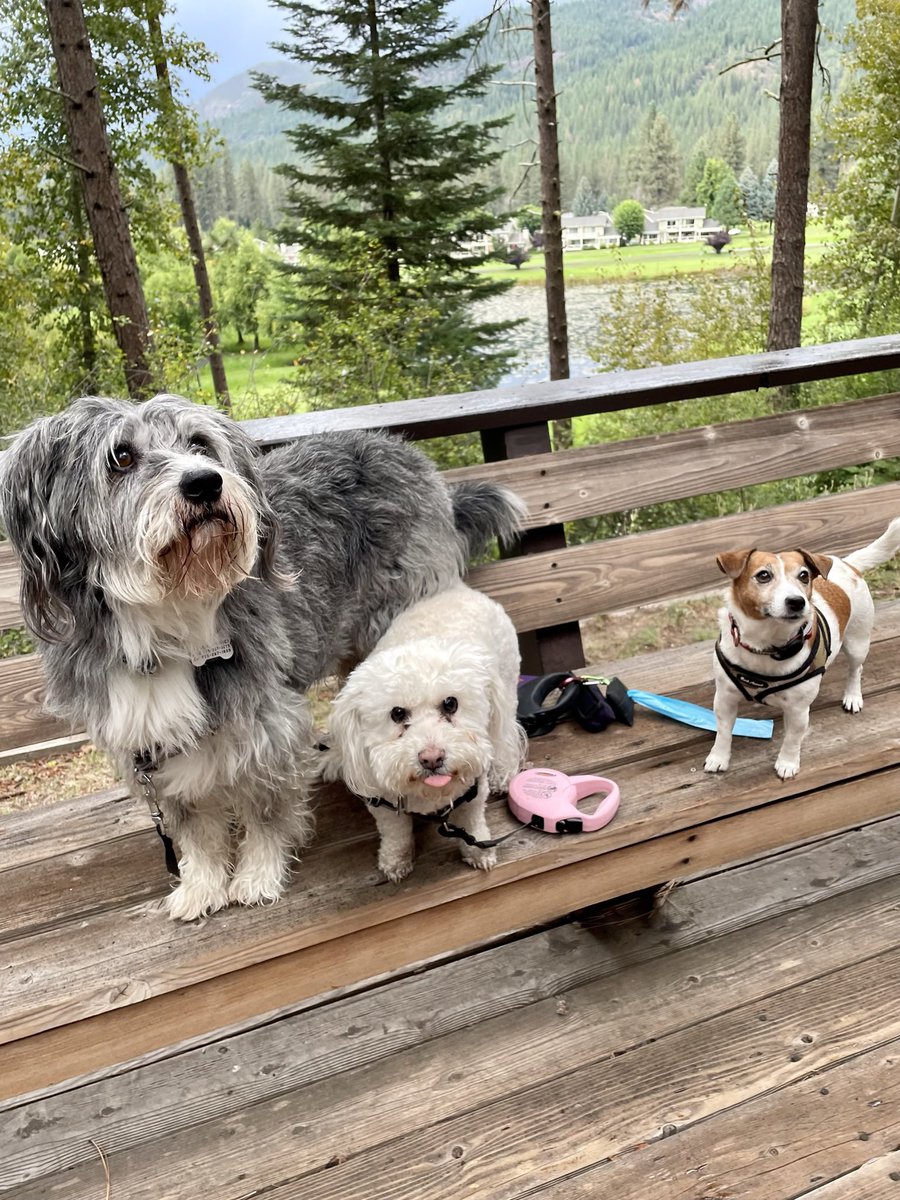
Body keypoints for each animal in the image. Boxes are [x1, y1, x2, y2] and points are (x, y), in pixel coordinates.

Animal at [324, 583, 528, 883]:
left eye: (451, 703)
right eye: (397, 713)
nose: (431, 758)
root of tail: (457, 588)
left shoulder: (473, 790)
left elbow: (472, 822)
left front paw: (479, 851)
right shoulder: (382, 802)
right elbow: (395, 832)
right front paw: (396, 861)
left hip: (506, 684)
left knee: (506, 736)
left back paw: (503, 773)